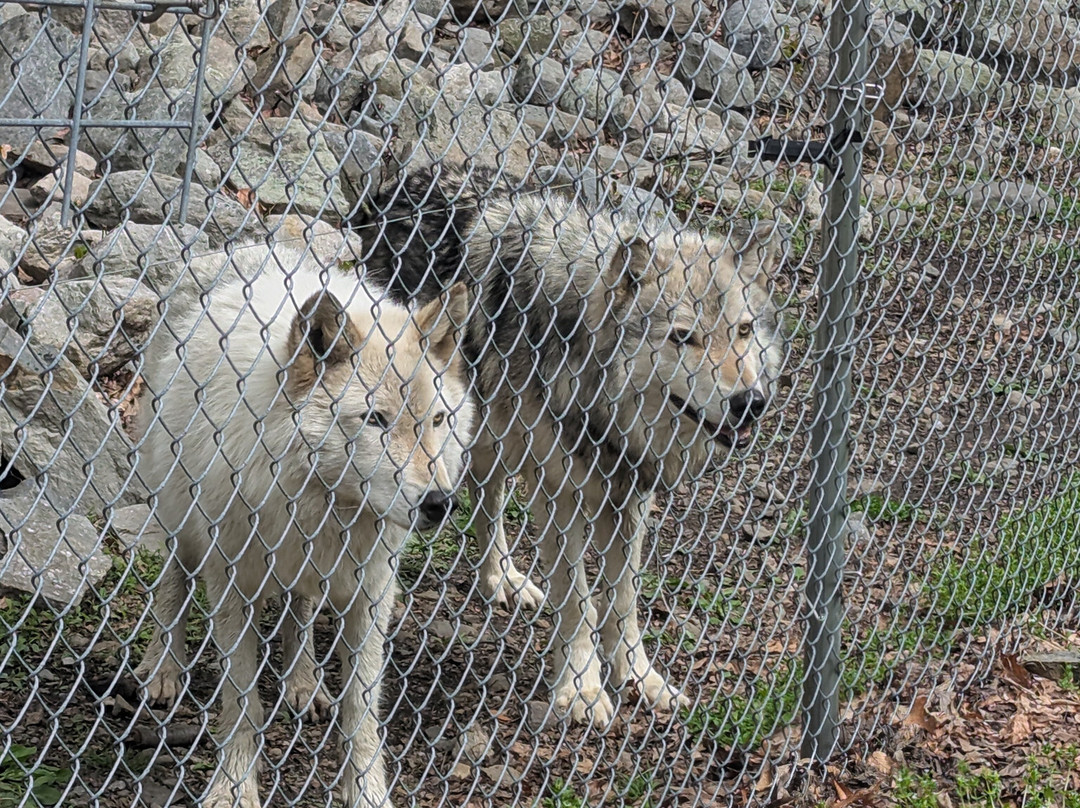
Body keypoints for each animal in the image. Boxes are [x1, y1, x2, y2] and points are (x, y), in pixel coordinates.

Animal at [130, 243, 474, 808]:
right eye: (375, 420)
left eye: (438, 421)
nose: (440, 503)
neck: (319, 504)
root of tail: (241, 247)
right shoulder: (232, 585)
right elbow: (241, 704)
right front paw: (232, 788)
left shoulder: (371, 588)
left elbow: (361, 708)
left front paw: (367, 790)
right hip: (178, 511)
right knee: (173, 581)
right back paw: (163, 669)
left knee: (301, 608)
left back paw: (303, 683)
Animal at [354, 169, 783, 728]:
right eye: (683, 337)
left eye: (744, 331)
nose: (749, 402)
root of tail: (399, 183)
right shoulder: (560, 494)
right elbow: (580, 602)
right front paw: (581, 690)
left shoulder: (632, 492)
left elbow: (623, 599)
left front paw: (641, 678)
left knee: (487, 500)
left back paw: (503, 580)